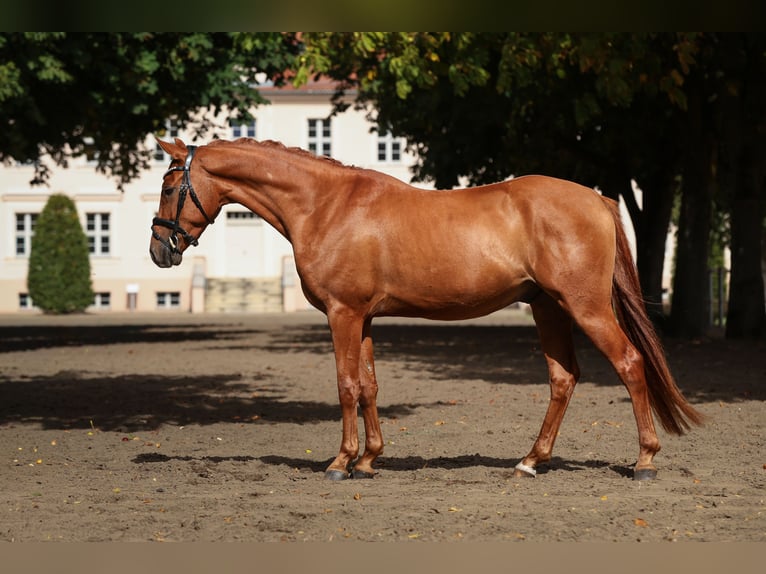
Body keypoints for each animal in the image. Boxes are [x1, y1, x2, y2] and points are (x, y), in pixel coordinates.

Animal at [149, 137, 703, 482]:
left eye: (169, 185)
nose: (159, 250)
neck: (326, 204)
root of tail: (597, 198)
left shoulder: (342, 314)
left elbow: (346, 385)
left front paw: (341, 462)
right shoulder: (364, 318)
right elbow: (369, 385)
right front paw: (369, 461)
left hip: (586, 307)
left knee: (629, 364)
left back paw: (644, 460)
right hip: (549, 309)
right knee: (563, 378)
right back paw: (531, 460)